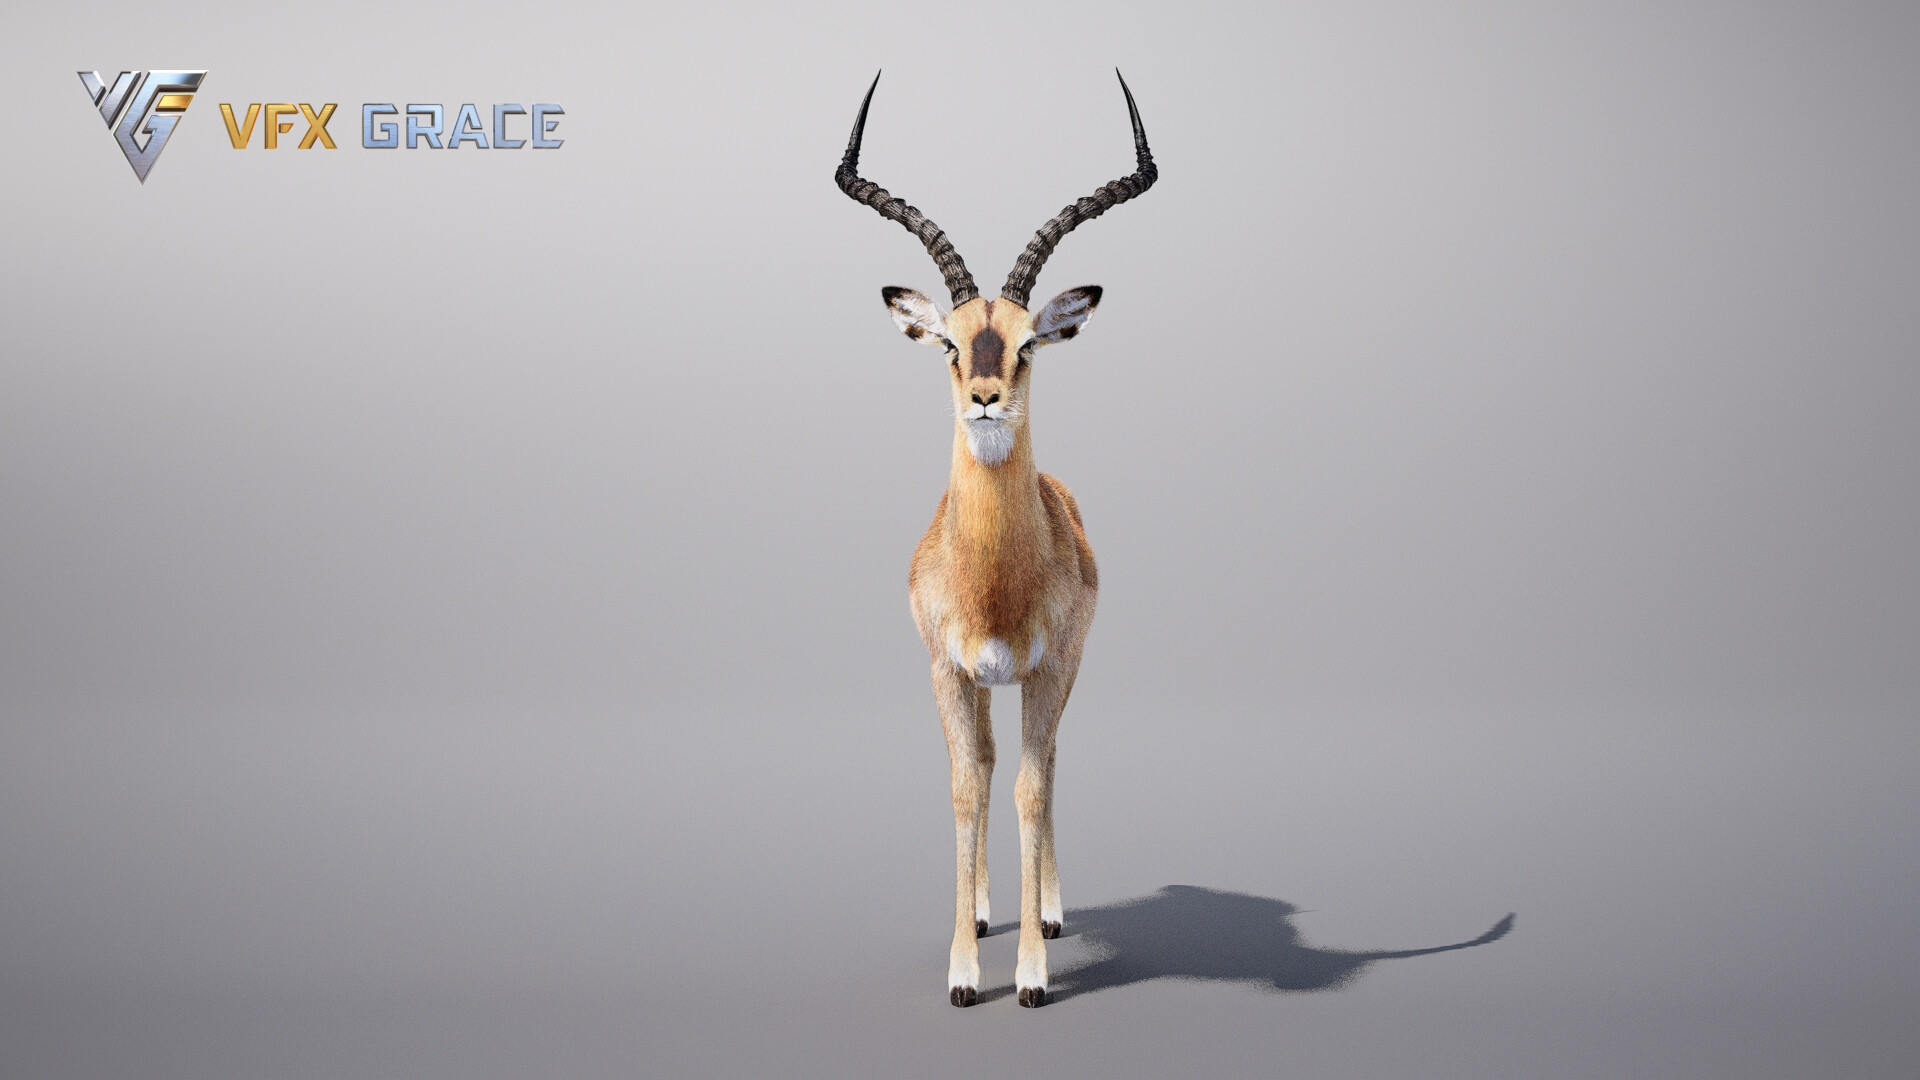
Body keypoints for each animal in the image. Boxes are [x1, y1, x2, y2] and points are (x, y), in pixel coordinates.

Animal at [835, 70, 1157, 1008]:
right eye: (949, 342)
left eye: (1027, 346)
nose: (984, 398)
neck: (992, 583)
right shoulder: (947, 670)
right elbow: (964, 789)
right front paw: (962, 970)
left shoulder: (1048, 669)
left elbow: (1027, 787)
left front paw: (1033, 975)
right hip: (981, 683)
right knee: (983, 765)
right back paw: (981, 914)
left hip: (1057, 675)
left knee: (1040, 768)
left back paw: (1045, 911)